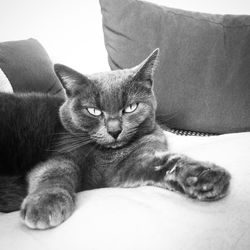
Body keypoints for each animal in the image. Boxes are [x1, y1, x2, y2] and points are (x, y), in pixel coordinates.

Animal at [0, 47, 230, 229]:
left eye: (130, 108)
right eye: (93, 111)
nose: (114, 130)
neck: (107, 155)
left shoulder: (129, 165)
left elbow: (169, 162)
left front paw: (206, 177)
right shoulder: (61, 154)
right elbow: (54, 171)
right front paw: (45, 203)